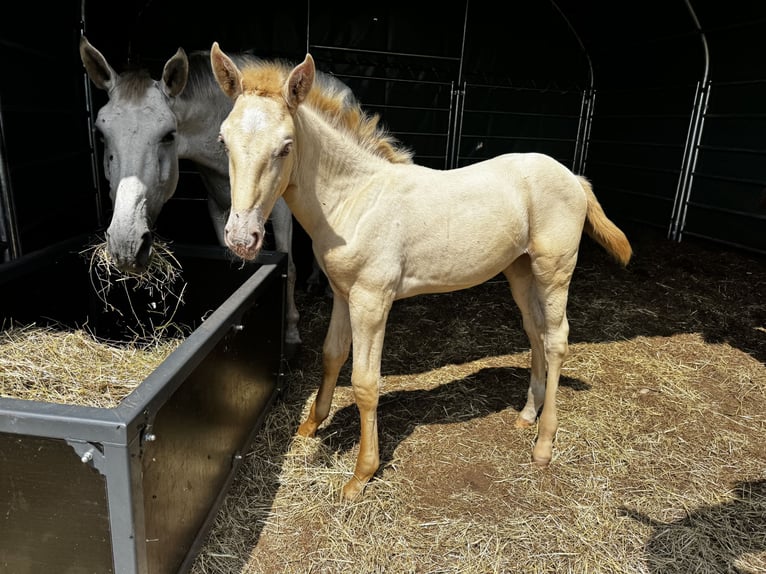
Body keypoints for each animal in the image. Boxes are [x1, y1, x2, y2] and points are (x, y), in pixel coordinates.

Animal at [209, 43, 633, 501]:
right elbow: (332, 355)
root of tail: (573, 176)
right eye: (223, 141)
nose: (242, 237)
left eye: (286, 147)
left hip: (554, 269)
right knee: (535, 332)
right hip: (519, 272)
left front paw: (361, 474)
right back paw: (526, 415)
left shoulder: (373, 301)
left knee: (556, 339)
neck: (356, 199)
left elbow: (365, 383)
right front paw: (310, 425)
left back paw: (544, 444)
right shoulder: (343, 293)